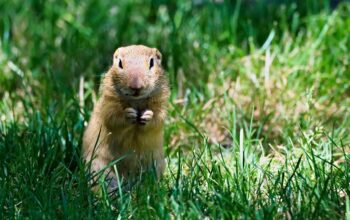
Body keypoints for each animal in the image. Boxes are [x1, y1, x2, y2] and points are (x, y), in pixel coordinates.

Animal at [82, 44, 170, 191]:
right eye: (120, 63)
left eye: (152, 62)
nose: (136, 86)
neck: (136, 101)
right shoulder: (108, 104)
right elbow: (113, 118)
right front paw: (129, 114)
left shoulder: (161, 105)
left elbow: (157, 119)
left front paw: (147, 115)